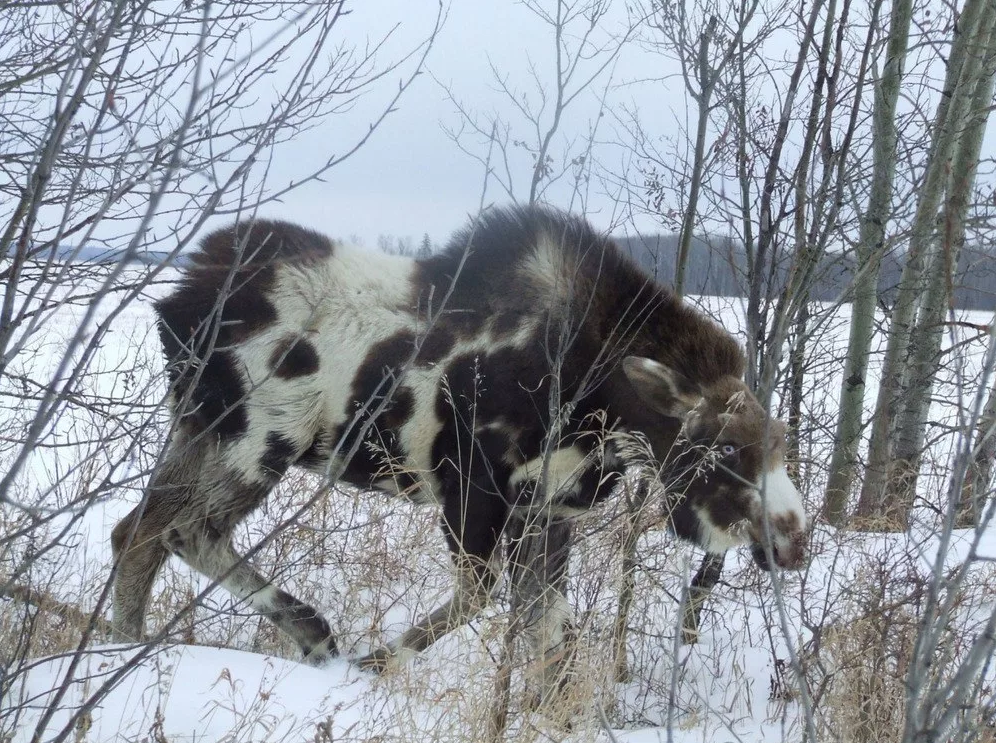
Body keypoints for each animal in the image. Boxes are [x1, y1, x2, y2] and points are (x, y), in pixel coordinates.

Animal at [113, 205, 804, 704]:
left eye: (779, 440)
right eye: (723, 447)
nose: (794, 539)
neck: (604, 407)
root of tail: (175, 303)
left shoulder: (546, 509)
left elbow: (549, 631)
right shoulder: (472, 488)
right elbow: (484, 597)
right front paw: (371, 666)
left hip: (204, 434)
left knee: (138, 530)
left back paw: (123, 649)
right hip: (258, 440)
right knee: (182, 529)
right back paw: (297, 635)